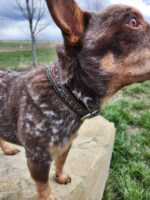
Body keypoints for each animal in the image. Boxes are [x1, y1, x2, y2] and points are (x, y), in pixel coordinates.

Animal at [0, 0, 150, 200]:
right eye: (133, 21)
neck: (64, 93)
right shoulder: (37, 159)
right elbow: (43, 186)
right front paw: (48, 195)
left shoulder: (66, 144)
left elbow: (61, 161)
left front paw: (60, 176)